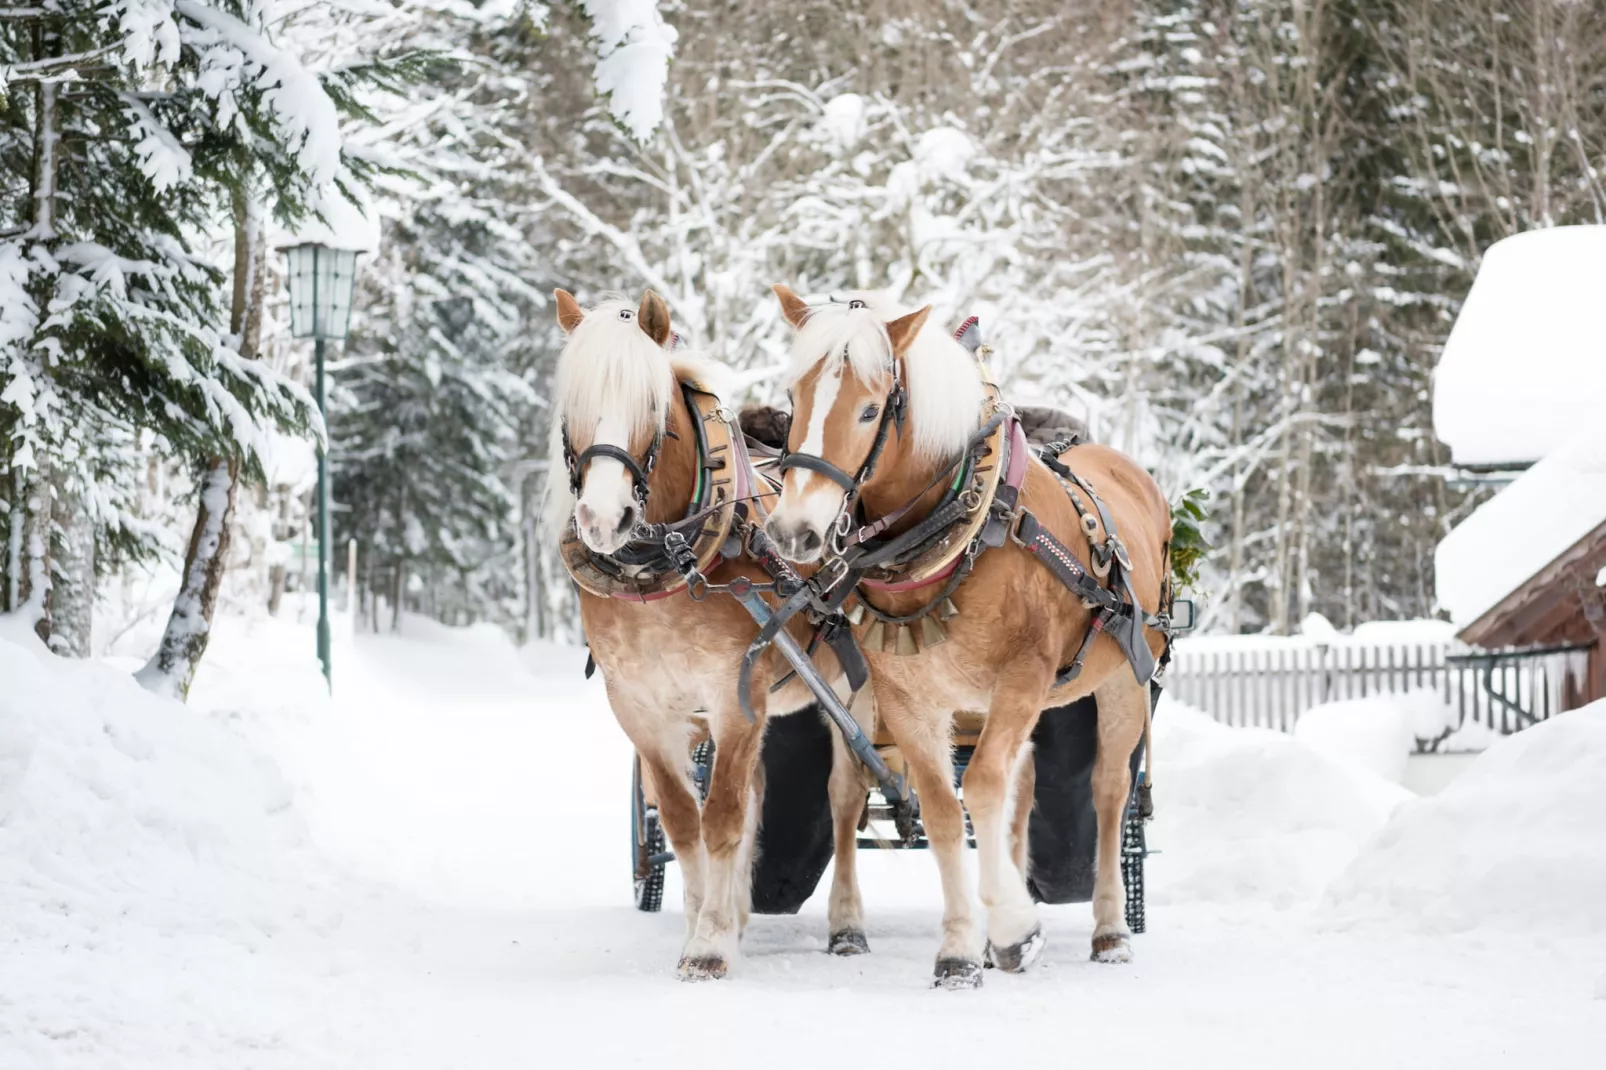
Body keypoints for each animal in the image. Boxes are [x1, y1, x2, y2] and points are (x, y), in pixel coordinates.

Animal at [552, 287, 880, 976]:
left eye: (652, 408)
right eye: (574, 408)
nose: (601, 518)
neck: (667, 565)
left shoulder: (735, 696)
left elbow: (723, 816)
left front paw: (708, 947)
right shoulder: (641, 709)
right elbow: (685, 821)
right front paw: (707, 924)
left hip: (853, 692)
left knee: (845, 798)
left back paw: (846, 924)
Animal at [761, 282, 1169, 983]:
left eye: (870, 410)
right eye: (794, 398)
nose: (795, 532)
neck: (965, 529)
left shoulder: (1023, 678)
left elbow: (979, 787)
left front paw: (1013, 927)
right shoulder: (910, 699)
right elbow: (946, 811)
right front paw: (960, 948)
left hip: (1124, 680)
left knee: (1109, 793)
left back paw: (1111, 931)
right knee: (1015, 794)